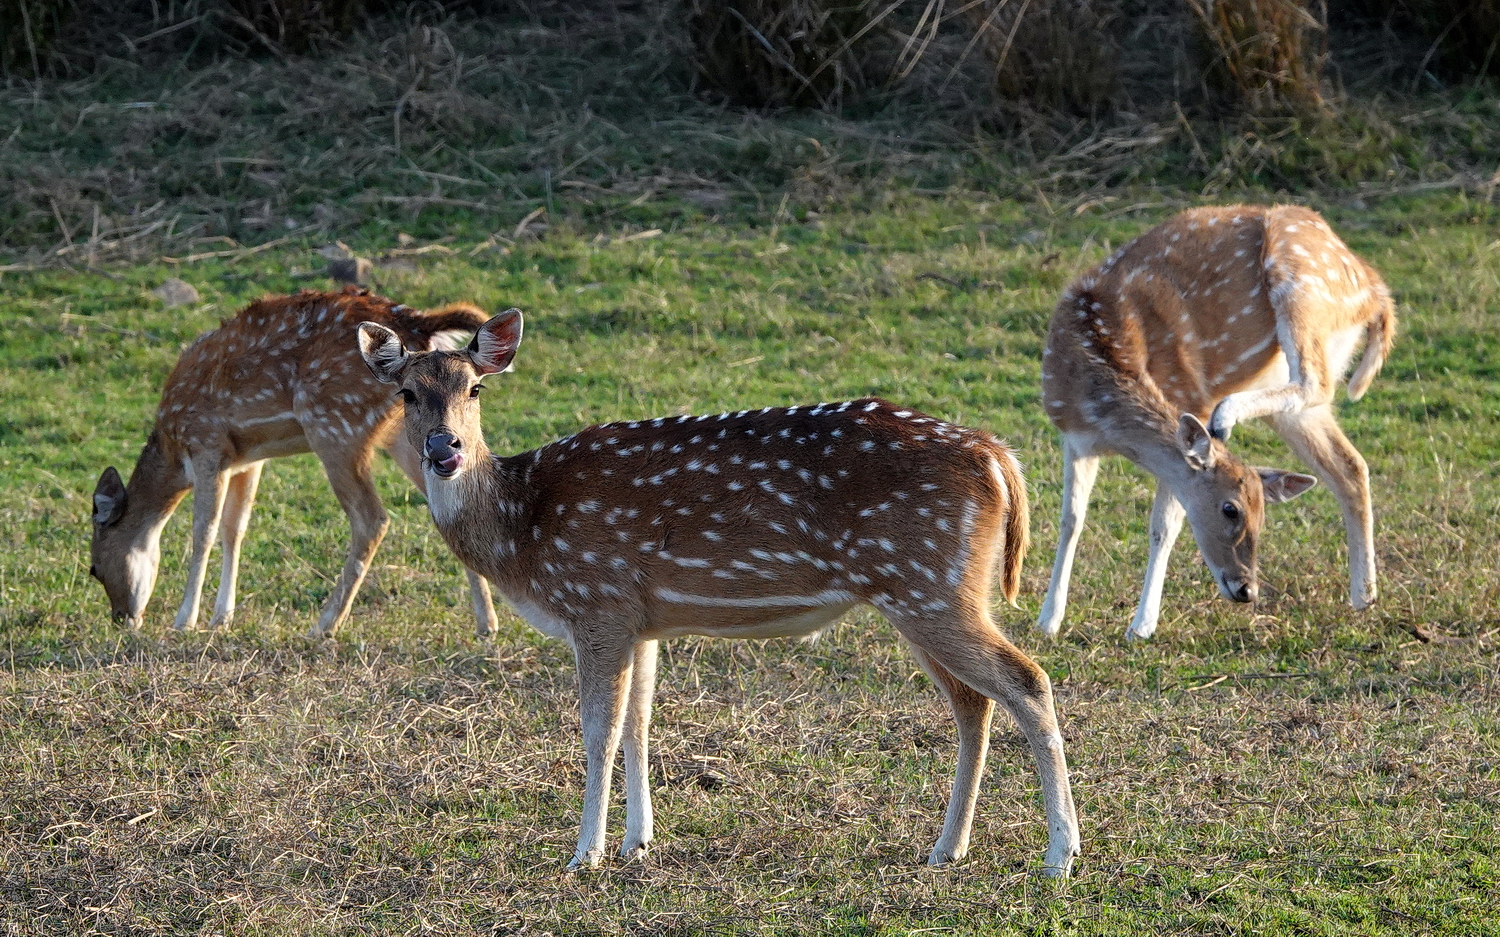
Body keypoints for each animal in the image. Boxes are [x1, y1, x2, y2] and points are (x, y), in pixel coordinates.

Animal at [87, 284, 498, 635]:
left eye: (94, 568)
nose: (122, 619)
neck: (172, 447)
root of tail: (422, 325)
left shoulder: (206, 443)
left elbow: (203, 531)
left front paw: (184, 621)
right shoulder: (246, 459)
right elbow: (234, 530)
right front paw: (222, 619)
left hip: (334, 424)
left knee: (371, 519)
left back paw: (325, 625)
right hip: (402, 433)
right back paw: (487, 624)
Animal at [354, 310, 1080, 875]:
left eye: (475, 387)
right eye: (408, 393)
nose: (445, 448)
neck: (520, 533)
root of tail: (997, 455)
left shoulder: (597, 599)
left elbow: (599, 730)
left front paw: (584, 854)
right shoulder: (641, 619)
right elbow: (640, 723)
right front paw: (638, 843)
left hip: (930, 583)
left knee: (1026, 679)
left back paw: (1059, 853)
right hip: (929, 588)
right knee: (973, 700)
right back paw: (947, 848)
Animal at [1038, 203, 1386, 638]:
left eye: (1262, 514)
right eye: (1232, 509)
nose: (1247, 590)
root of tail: (1376, 291)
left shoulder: (1190, 405)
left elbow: (1163, 527)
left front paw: (1142, 625)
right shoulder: (1073, 436)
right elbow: (1071, 520)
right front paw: (1048, 619)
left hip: (1303, 282)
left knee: (1317, 382)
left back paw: (1228, 412)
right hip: (1297, 392)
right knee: (1351, 464)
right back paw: (1364, 595)